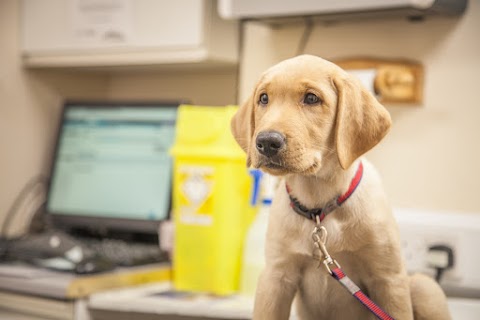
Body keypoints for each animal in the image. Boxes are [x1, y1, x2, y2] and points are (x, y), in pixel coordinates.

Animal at [232, 53, 450, 318]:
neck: (320, 207)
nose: (266, 141)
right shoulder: (275, 277)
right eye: (263, 98)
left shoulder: (389, 279)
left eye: (311, 98)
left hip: (423, 286)